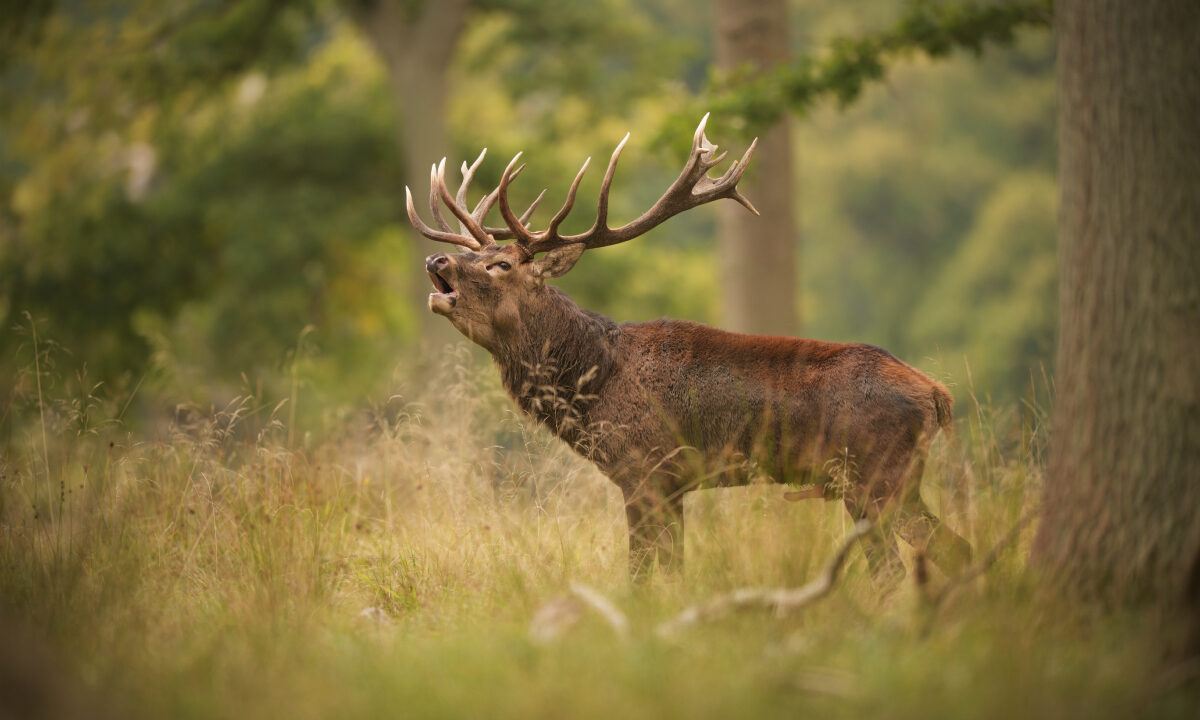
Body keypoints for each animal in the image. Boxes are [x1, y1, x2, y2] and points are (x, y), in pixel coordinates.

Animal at [406, 115, 972, 589]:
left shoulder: (645, 469)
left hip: (874, 475)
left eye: (501, 264)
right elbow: (673, 569)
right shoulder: (674, 484)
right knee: (946, 550)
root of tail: (937, 395)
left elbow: (641, 573)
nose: (437, 261)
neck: (592, 382)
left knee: (900, 566)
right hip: (891, 482)